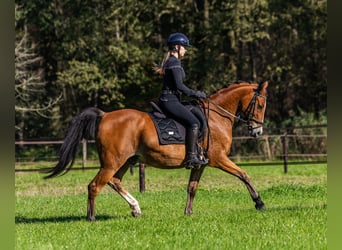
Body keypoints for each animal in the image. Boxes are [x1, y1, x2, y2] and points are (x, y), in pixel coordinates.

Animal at [42, 80, 268, 221]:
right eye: (260, 105)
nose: (257, 131)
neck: (216, 117)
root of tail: (105, 115)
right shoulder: (219, 158)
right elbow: (244, 175)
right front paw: (259, 203)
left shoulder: (200, 164)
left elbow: (192, 188)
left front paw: (188, 212)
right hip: (112, 162)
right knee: (95, 186)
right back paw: (91, 217)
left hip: (126, 160)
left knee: (114, 182)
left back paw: (136, 208)